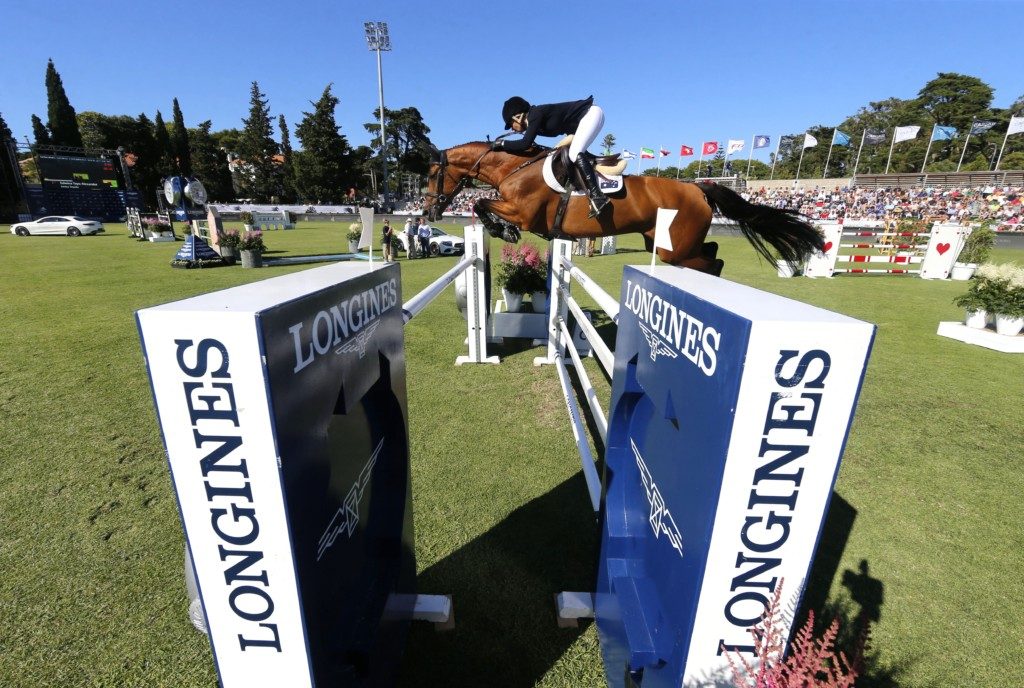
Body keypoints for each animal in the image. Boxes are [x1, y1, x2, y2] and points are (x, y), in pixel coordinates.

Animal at [425, 141, 823, 276]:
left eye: (430, 175)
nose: (428, 213)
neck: (515, 167)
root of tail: (697, 188)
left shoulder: (522, 211)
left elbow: (481, 202)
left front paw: (501, 229)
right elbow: (482, 202)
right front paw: (498, 228)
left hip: (673, 247)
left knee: (714, 260)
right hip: (663, 242)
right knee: (711, 252)